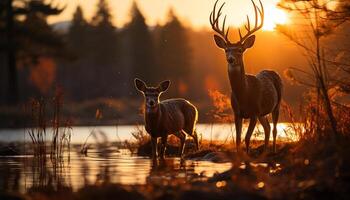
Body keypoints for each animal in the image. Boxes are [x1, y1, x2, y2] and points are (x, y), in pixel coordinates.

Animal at [209, 0, 284, 153]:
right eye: (226, 50)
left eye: (240, 50)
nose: (230, 59)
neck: (244, 95)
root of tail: (272, 71)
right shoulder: (237, 113)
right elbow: (238, 139)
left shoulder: (254, 112)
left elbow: (247, 138)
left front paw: (247, 156)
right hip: (262, 113)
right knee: (267, 128)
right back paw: (264, 152)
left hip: (277, 104)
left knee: (274, 129)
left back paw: (273, 151)